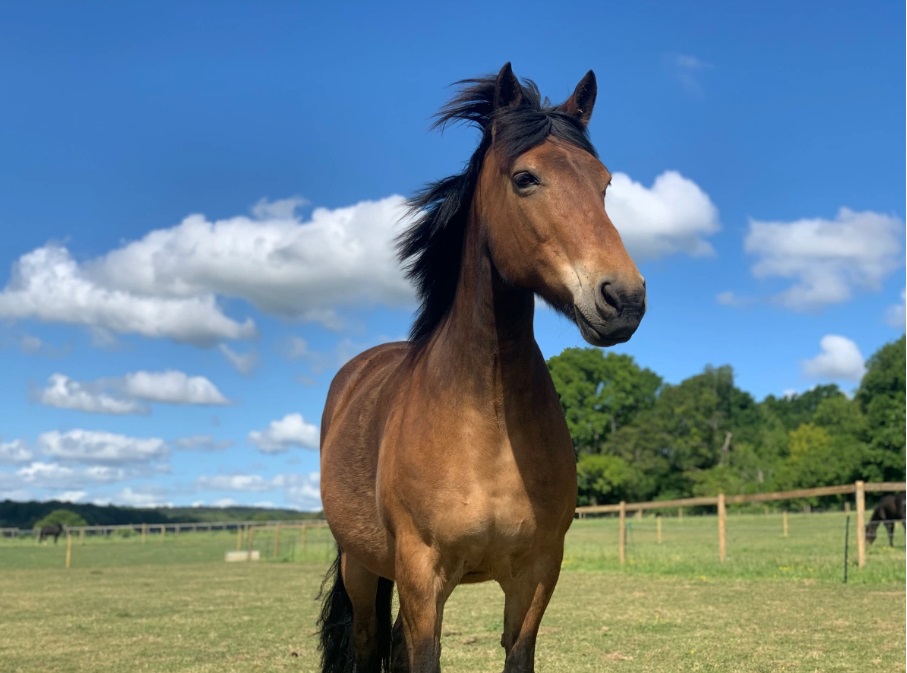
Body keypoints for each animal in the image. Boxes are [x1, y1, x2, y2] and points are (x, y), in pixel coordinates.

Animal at [320, 64, 644, 672]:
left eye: (605, 183)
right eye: (525, 178)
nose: (624, 299)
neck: (486, 422)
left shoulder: (536, 576)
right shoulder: (423, 577)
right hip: (361, 566)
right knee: (369, 643)